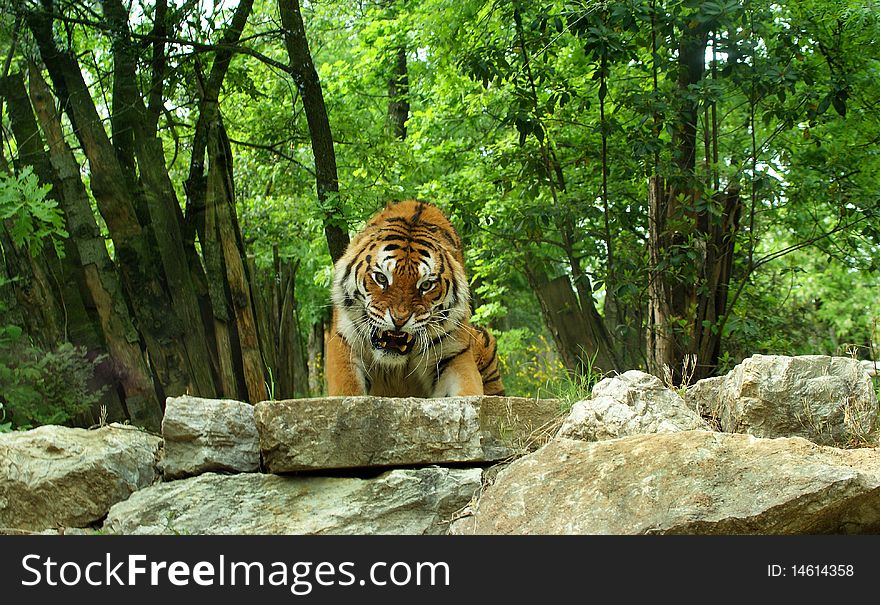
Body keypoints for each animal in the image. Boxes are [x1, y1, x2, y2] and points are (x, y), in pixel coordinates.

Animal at [324, 199, 506, 396]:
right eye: (381, 278)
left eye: (426, 285)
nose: (399, 320)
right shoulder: (344, 342)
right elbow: (348, 390)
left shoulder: (453, 353)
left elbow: (467, 390)